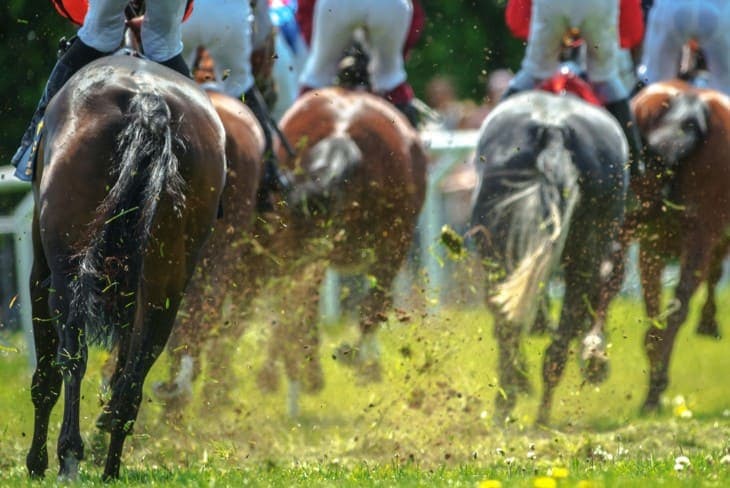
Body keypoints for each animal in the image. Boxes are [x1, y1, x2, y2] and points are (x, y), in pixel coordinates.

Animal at [26, 54, 226, 480]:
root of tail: (148, 102)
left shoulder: (41, 272)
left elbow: (48, 374)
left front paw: (36, 463)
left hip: (68, 269)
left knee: (73, 356)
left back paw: (69, 456)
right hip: (167, 283)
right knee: (136, 370)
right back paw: (110, 466)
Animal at [593, 80, 730, 412]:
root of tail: (689, 105)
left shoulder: (649, 246)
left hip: (628, 218)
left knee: (610, 277)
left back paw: (595, 353)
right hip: (698, 234)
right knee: (680, 304)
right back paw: (654, 389)